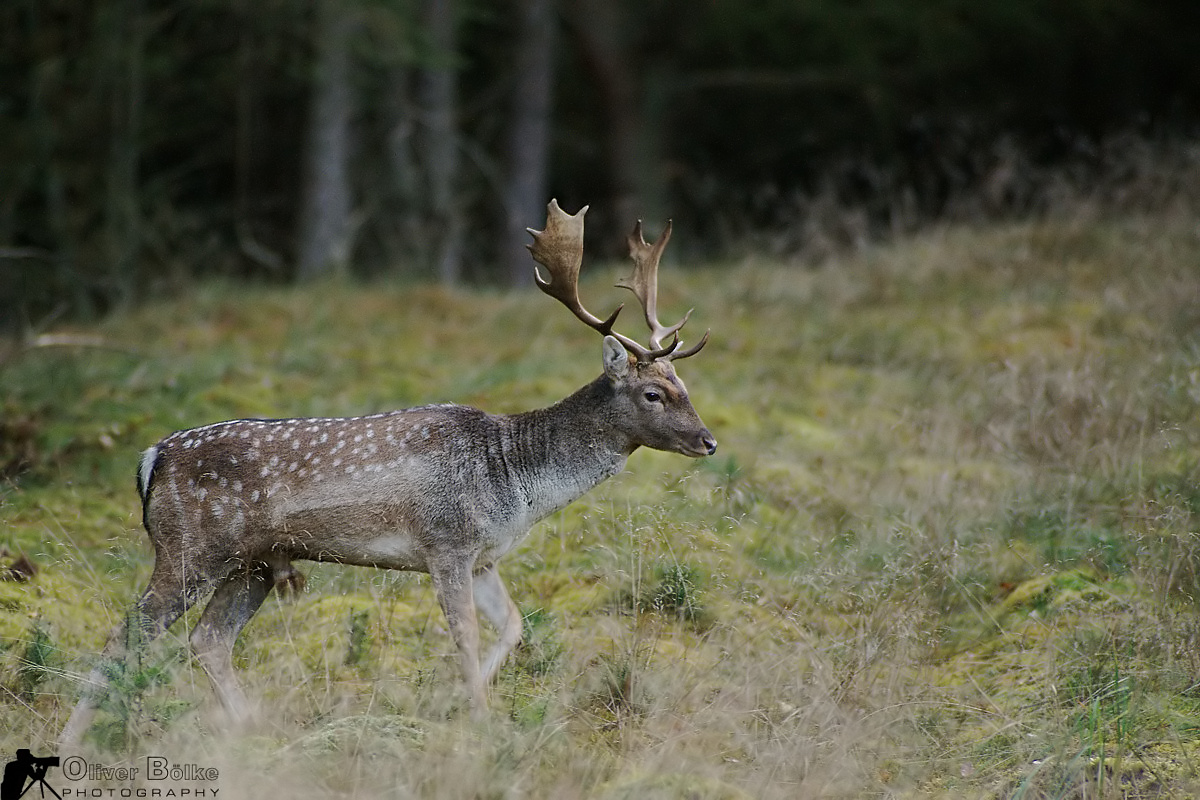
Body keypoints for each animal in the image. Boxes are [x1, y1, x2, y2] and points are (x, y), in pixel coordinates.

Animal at [58, 199, 710, 743]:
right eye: (653, 393)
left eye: (684, 383)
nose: (708, 440)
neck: (515, 478)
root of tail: (151, 459)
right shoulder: (446, 542)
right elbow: (466, 637)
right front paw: (478, 722)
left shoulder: (484, 556)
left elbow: (512, 627)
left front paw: (458, 705)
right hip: (189, 548)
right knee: (128, 634)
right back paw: (72, 740)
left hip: (255, 563)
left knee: (209, 639)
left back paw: (252, 730)